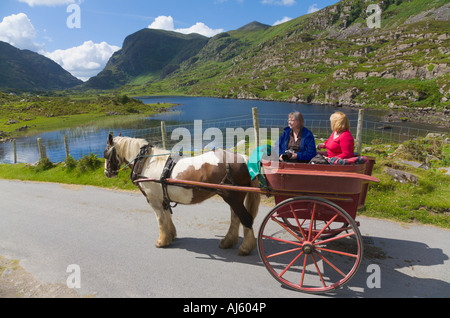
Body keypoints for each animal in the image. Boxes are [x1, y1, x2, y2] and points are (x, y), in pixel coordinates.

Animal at [103, 134, 260, 256]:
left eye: (106, 154)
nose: (107, 173)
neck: (147, 162)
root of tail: (243, 158)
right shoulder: (163, 199)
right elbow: (167, 216)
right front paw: (171, 236)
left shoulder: (154, 200)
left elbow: (161, 220)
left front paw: (162, 241)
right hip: (233, 198)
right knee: (235, 218)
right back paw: (228, 242)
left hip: (233, 197)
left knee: (245, 219)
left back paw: (245, 248)